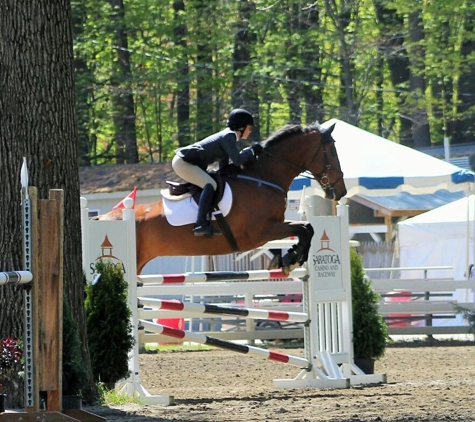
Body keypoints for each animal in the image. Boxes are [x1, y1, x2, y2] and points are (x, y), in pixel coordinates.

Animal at [98, 122, 348, 274]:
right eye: (332, 152)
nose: (341, 192)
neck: (263, 177)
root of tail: (102, 219)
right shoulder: (259, 232)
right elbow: (303, 229)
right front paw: (289, 260)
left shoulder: (274, 224)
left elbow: (307, 228)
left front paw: (290, 258)